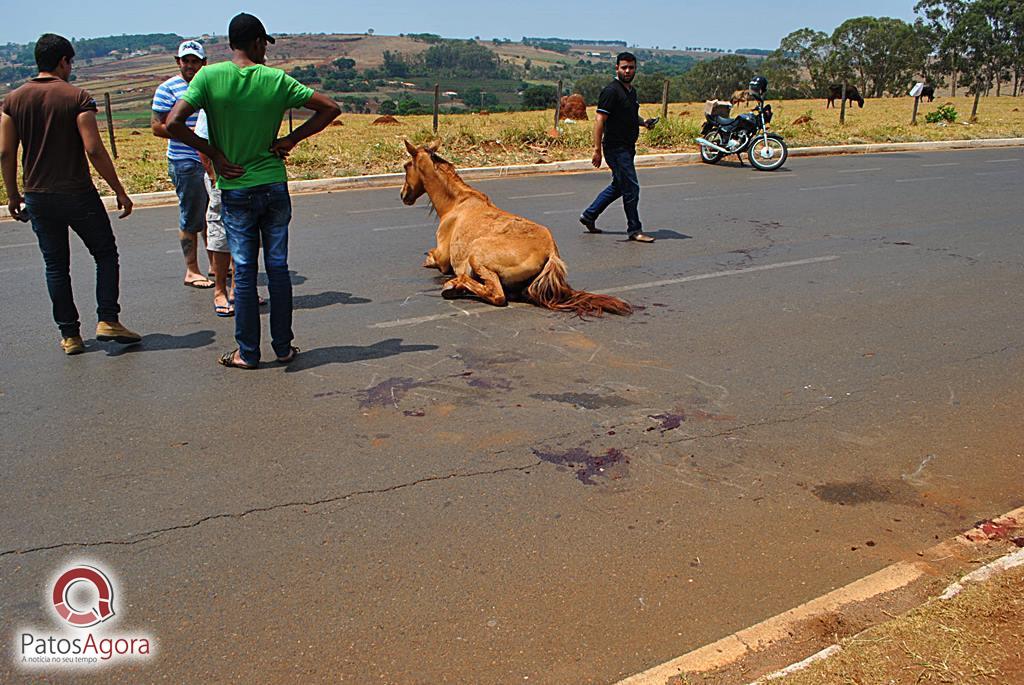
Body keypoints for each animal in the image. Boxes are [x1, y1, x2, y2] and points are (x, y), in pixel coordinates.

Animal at [401, 143, 630, 319]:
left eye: (406, 165)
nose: (404, 195)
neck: (457, 203)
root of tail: (551, 253)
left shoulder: (443, 259)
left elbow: (432, 258)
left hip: (477, 255)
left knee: (497, 294)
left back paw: (455, 285)